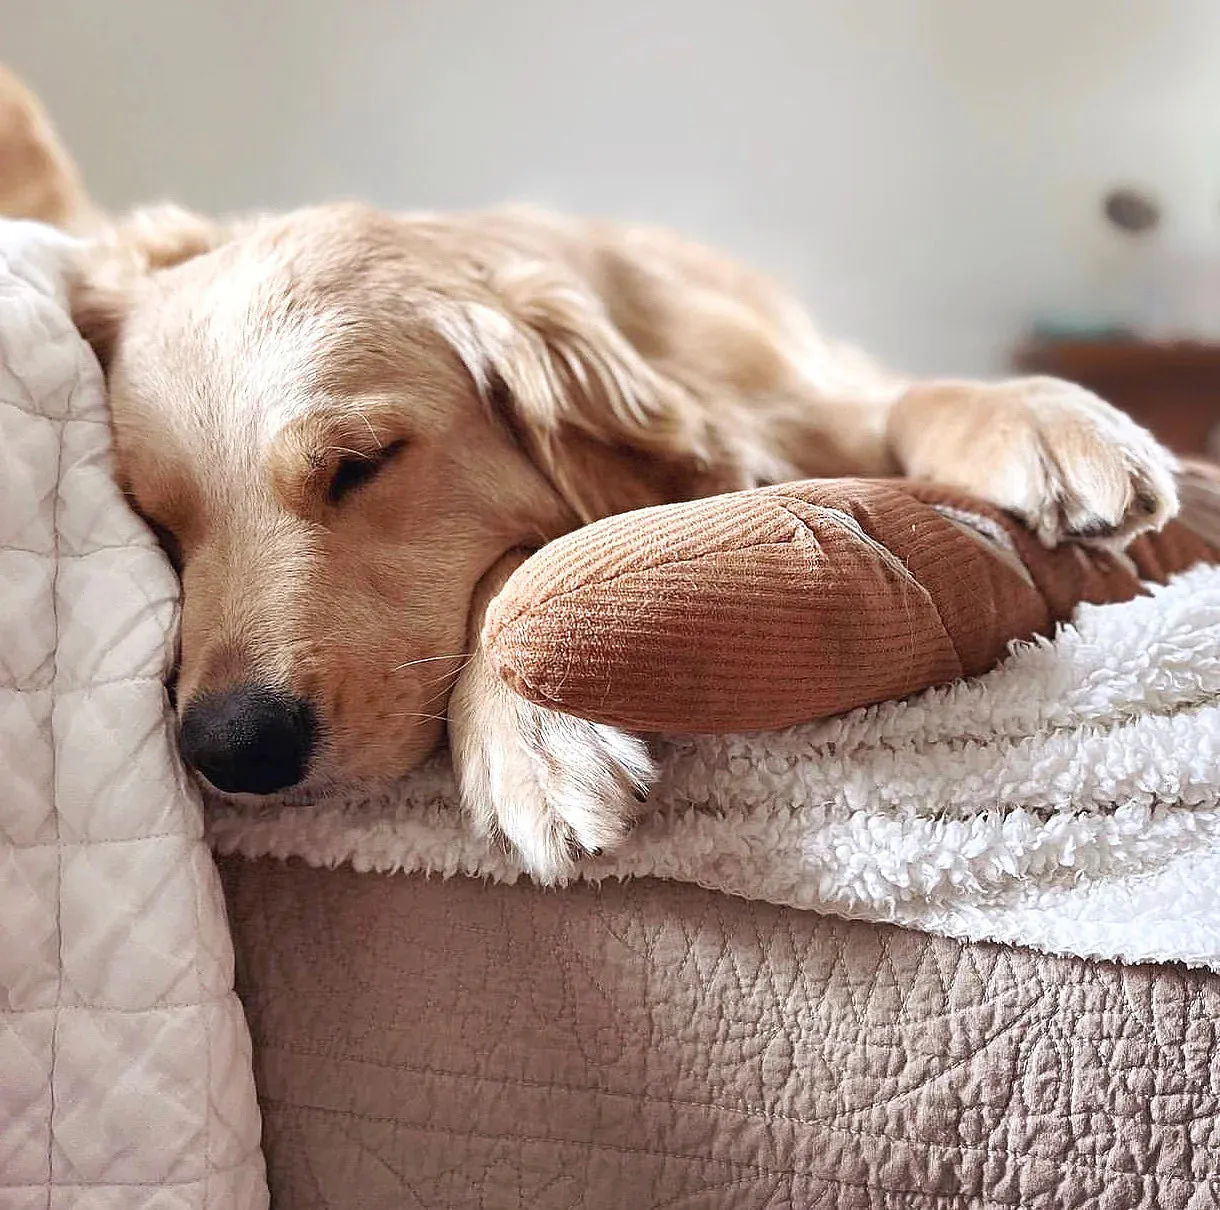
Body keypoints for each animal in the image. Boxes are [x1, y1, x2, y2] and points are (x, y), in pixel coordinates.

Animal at [61, 201, 1176, 878]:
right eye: (157, 519)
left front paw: (1050, 420)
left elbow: (909, 394)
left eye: (360, 464)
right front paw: (534, 737)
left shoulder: (799, 400)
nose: (231, 747)